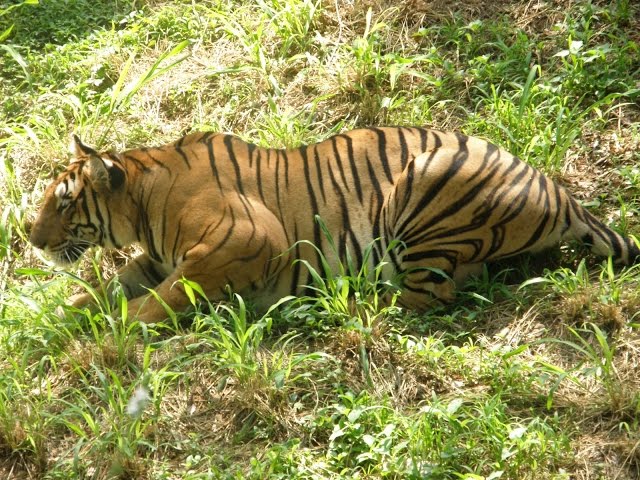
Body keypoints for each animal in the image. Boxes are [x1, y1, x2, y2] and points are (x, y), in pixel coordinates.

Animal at [29, 127, 639, 323]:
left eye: (64, 202)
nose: (32, 242)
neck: (142, 203)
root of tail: (562, 194)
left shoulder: (246, 238)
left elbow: (164, 297)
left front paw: (117, 329)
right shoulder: (154, 258)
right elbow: (107, 288)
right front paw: (60, 317)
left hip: (422, 189)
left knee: (427, 296)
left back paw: (343, 305)